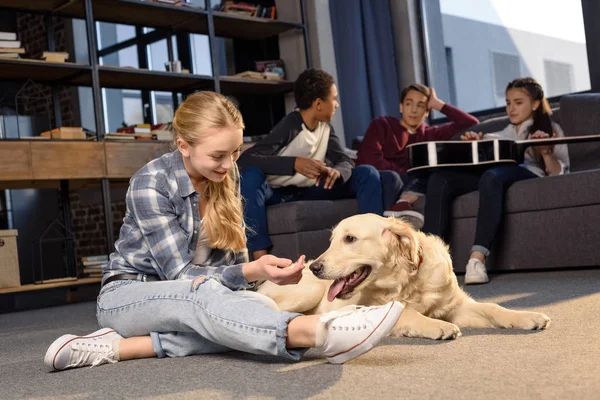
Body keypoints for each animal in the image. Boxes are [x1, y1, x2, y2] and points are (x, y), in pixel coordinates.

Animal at [258, 214, 548, 340]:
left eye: (349, 239)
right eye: (332, 240)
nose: (315, 267)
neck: (406, 282)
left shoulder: (456, 306)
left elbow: (493, 307)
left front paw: (528, 317)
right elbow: (408, 313)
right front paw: (438, 326)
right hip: (306, 291)